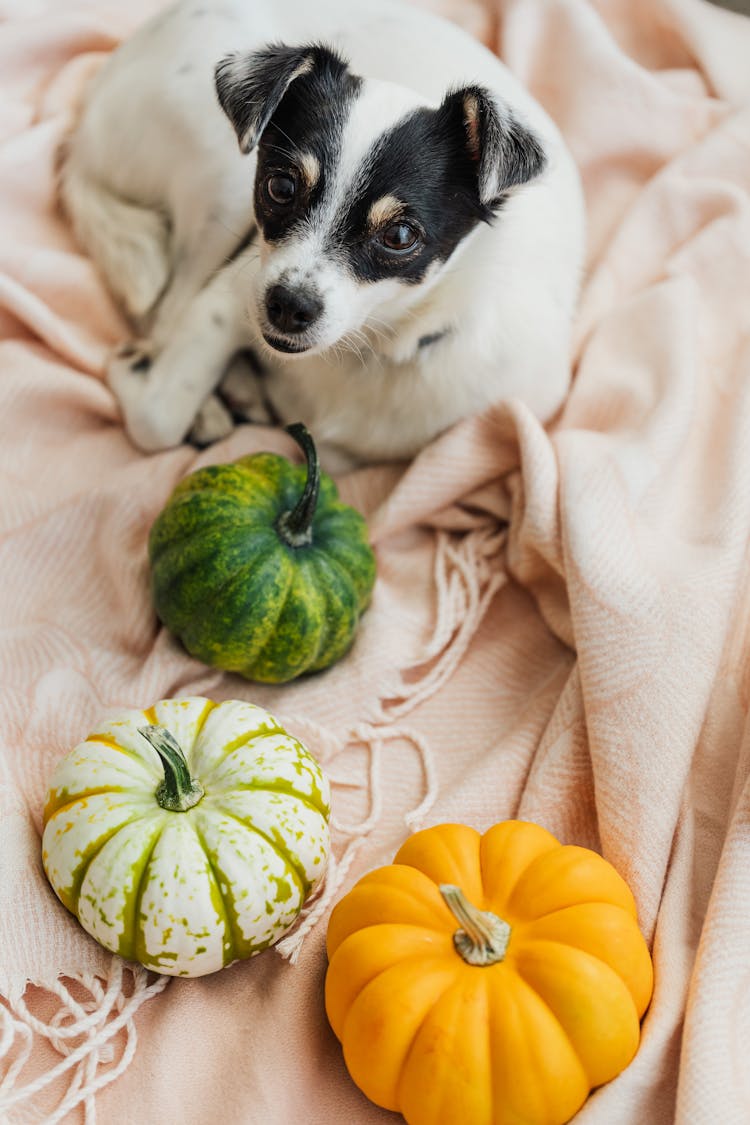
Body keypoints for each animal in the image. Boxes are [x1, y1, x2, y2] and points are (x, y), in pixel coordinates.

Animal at [58, 0, 584, 465]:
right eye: (281, 186)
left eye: (400, 237)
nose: (288, 306)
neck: (368, 348)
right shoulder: (229, 297)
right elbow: (157, 419)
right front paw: (138, 371)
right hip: (221, 174)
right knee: (165, 312)